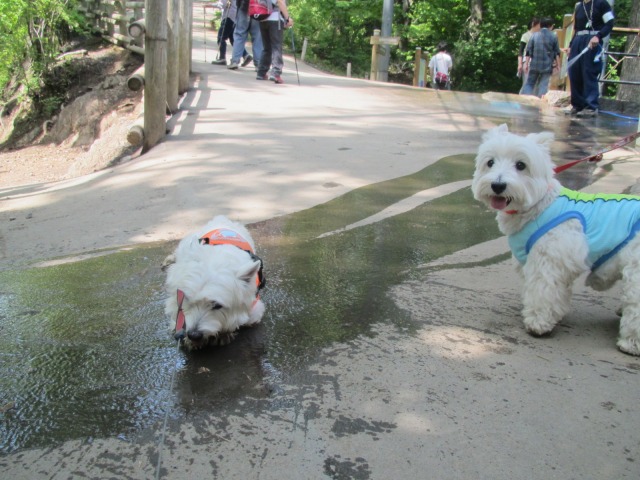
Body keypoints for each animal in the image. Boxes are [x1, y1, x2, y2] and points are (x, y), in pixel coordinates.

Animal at [165, 217, 268, 348]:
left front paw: (223, 334)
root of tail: (221, 217)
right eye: (186, 299)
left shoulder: (254, 308)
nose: (193, 335)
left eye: (217, 305)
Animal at [470, 124, 640, 356]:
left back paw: (630, 343)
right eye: (490, 162)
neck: (539, 205)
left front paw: (538, 323)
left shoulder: (549, 261)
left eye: (521, 165)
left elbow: (543, 292)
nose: (498, 185)